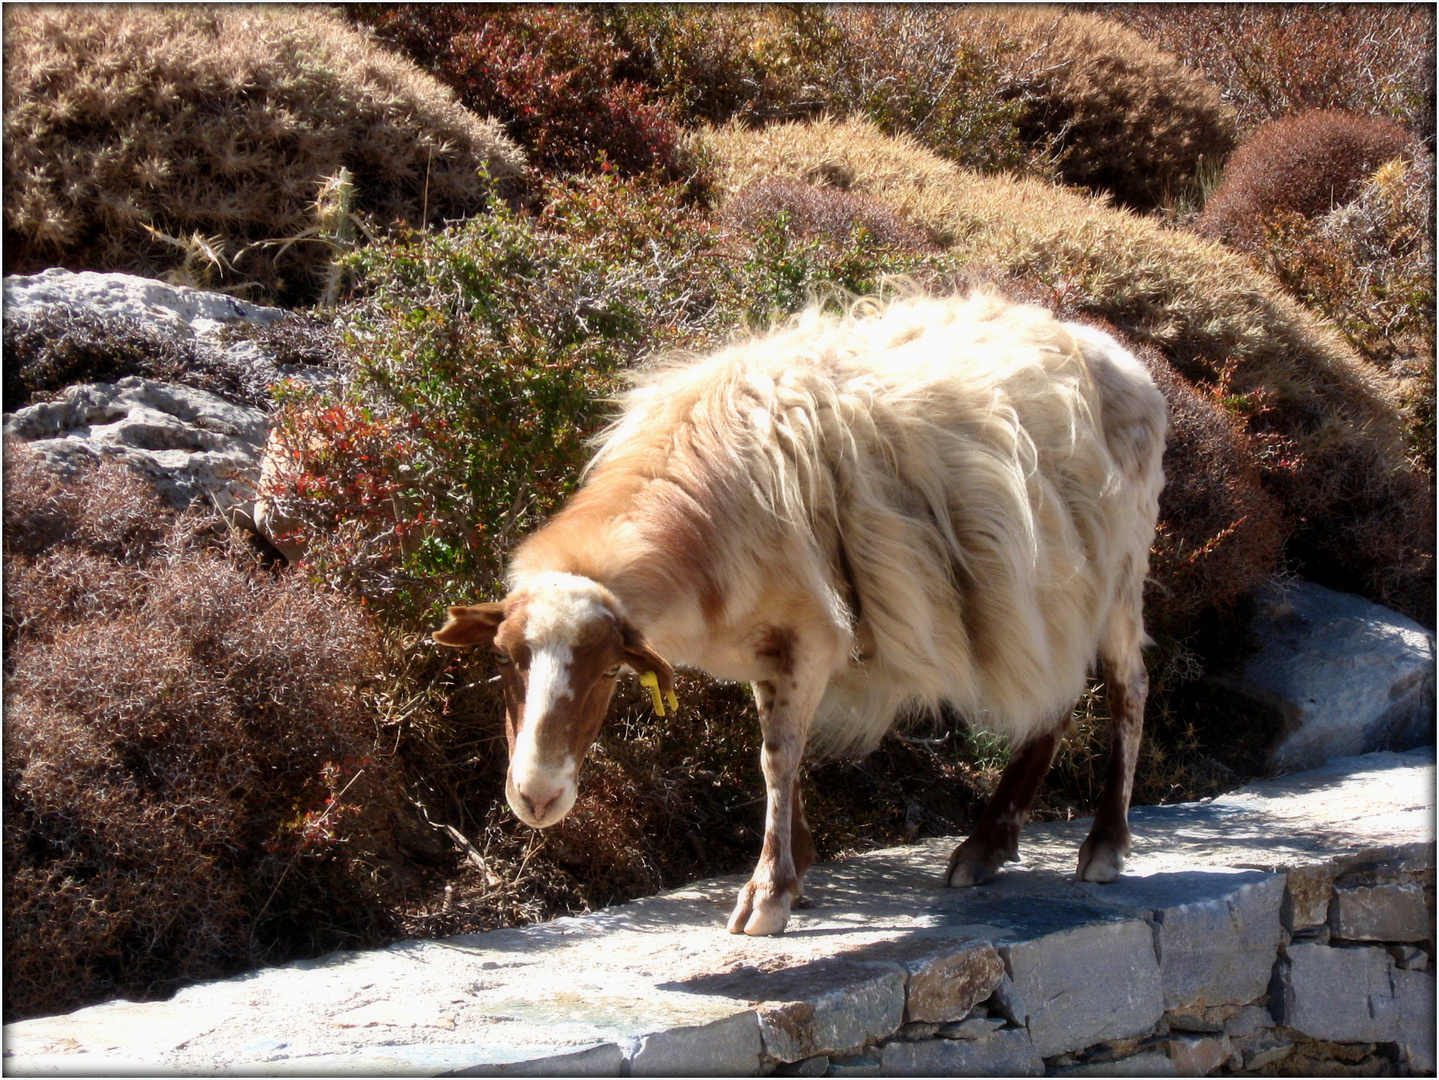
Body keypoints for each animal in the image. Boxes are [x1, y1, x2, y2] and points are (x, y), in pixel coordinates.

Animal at [431, 293, 1162, 937]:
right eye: (503, 660)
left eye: (611, 671)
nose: (536, 797)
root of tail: (1118, 355)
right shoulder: (769, 642)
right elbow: (778, 750)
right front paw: (798, 864)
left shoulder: (811, 635)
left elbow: (776, 757)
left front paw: (768, 893)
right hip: (1061, 598)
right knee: (1057, 698)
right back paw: (987, 844)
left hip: (1122, 572)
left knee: (1128, 690)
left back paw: (1104, 845)